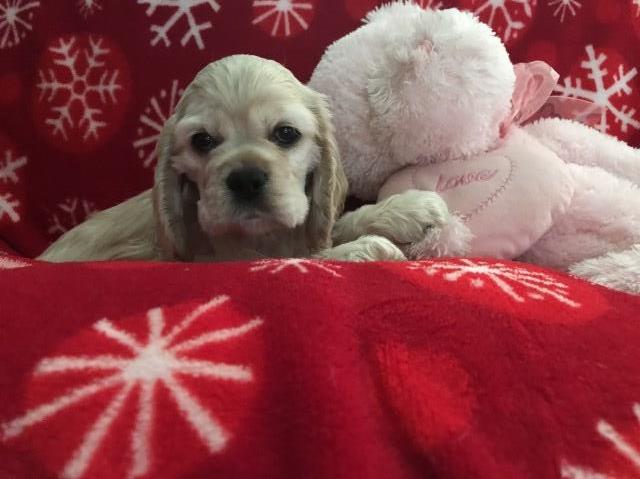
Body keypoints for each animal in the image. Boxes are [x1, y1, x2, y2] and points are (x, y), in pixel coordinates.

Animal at [41, 57, 440, 266]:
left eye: (285, 133)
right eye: (202, 141)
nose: (246, 179)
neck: (261, 236)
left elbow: (328, 227)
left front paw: (408, 209)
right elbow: (305, 257)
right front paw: (365, 248)